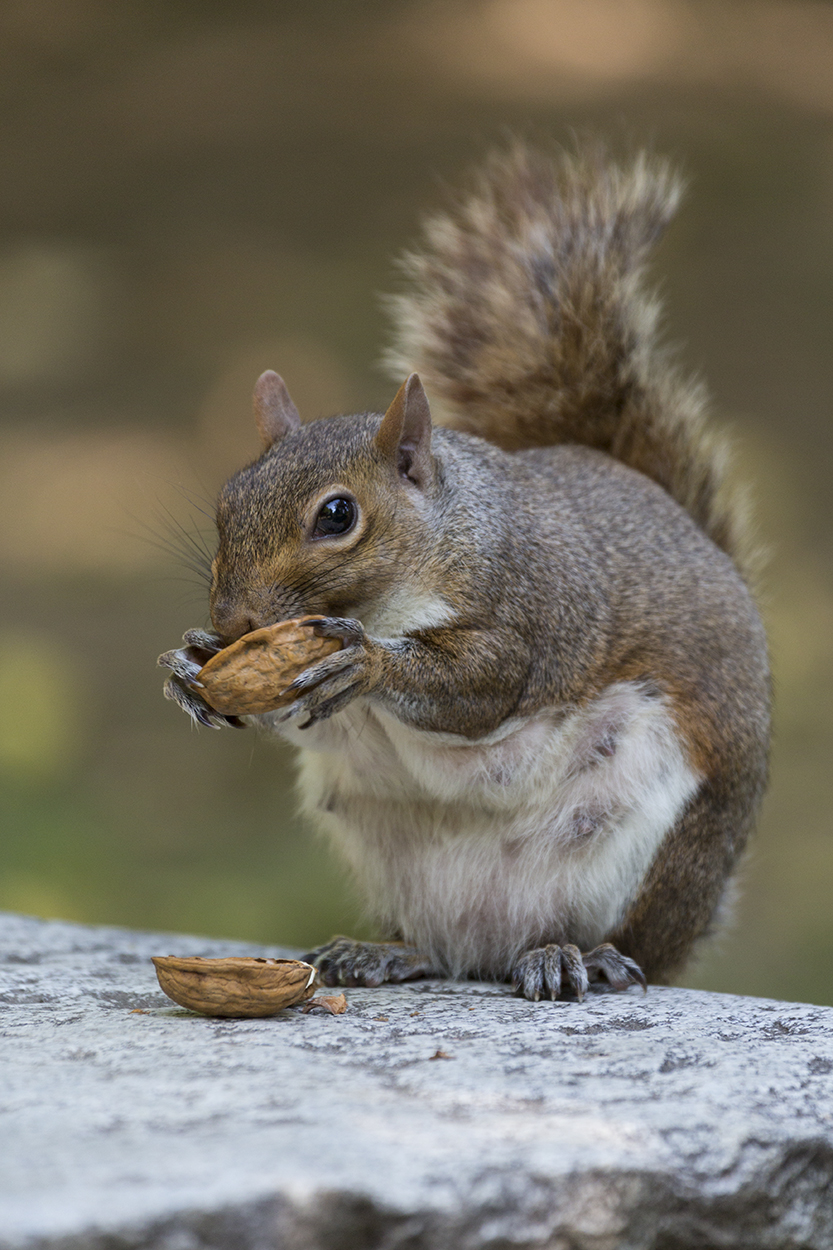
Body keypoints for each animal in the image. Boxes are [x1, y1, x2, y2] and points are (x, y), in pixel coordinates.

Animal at [161, 143, 770, 1002]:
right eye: (227, 498)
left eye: (337, 516)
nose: (233, 622)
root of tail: (496, 939)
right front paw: (188, 666)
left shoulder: (531, 614)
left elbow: (482, 686)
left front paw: (365, 663)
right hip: (387, 854)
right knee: (444, 949)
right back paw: (385, 952)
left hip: (651, 840)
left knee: (629, 941)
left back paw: (579, 955)